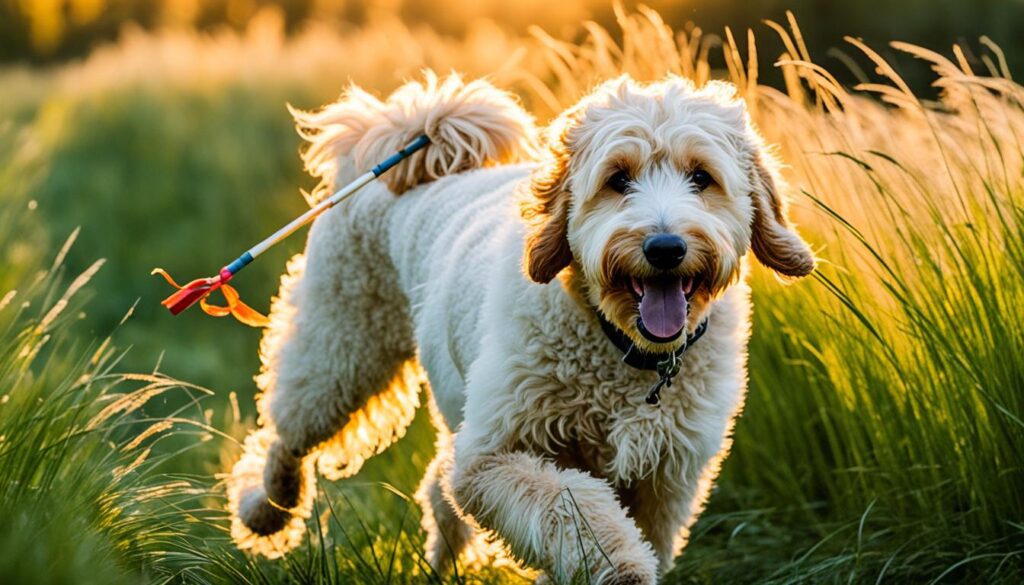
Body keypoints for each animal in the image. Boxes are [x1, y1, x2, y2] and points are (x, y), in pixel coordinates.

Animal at [226, 71, 815, 581]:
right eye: (618, 179)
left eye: (701, 178)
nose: (665, 247)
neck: (624, 353)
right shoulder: (492, 456)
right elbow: (571, 507)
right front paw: (623, 566)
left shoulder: (665, 479)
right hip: (340, 350)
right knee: (289, 432)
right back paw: (265, 511)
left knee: (434, 486)